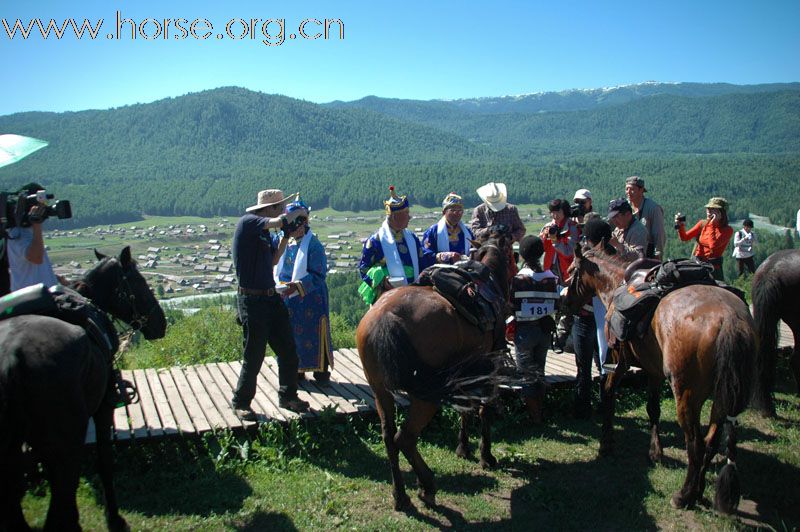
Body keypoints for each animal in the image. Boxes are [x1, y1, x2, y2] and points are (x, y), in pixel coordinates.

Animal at [0, 248, 166, 532]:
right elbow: (105, 461)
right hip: (66, 444)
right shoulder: (104, 408)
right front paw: (115, 518)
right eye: (140, 281)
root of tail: (12, 356)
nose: (161, 323)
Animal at [354, 237, 510, 512]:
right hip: (426, 395)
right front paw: (486, 455)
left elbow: (465, 409)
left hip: (380, 390)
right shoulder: (490, 367)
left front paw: (463, 448)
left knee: (389, 437)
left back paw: (401, 495)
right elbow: (484, 409)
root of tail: (385, 317)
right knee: (405, 437)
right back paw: (426, 486)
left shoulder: (465, 373)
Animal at [564, 245, 760, 516]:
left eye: (572, 271)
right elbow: (653, 409)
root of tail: (730, 320)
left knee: (696, 444)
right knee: (711, 442)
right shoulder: (654, 370)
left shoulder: (617, 361)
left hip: (686, 394)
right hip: (723, 395)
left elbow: (609, 393)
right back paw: (698, 491)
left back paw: (683, 496)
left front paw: (606, 444)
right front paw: (655, 451)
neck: (616, 284)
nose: (565, 303)